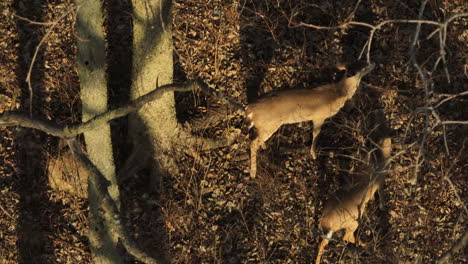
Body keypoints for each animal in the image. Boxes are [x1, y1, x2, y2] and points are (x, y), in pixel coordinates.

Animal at [314, 134, 392, 264]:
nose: (388, 138)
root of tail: (326, 222)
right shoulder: (380, 180)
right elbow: (381, 195)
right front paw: (383, 207)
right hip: (353, 222)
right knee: (347, 236)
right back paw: (366, 244)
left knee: (324, 242)